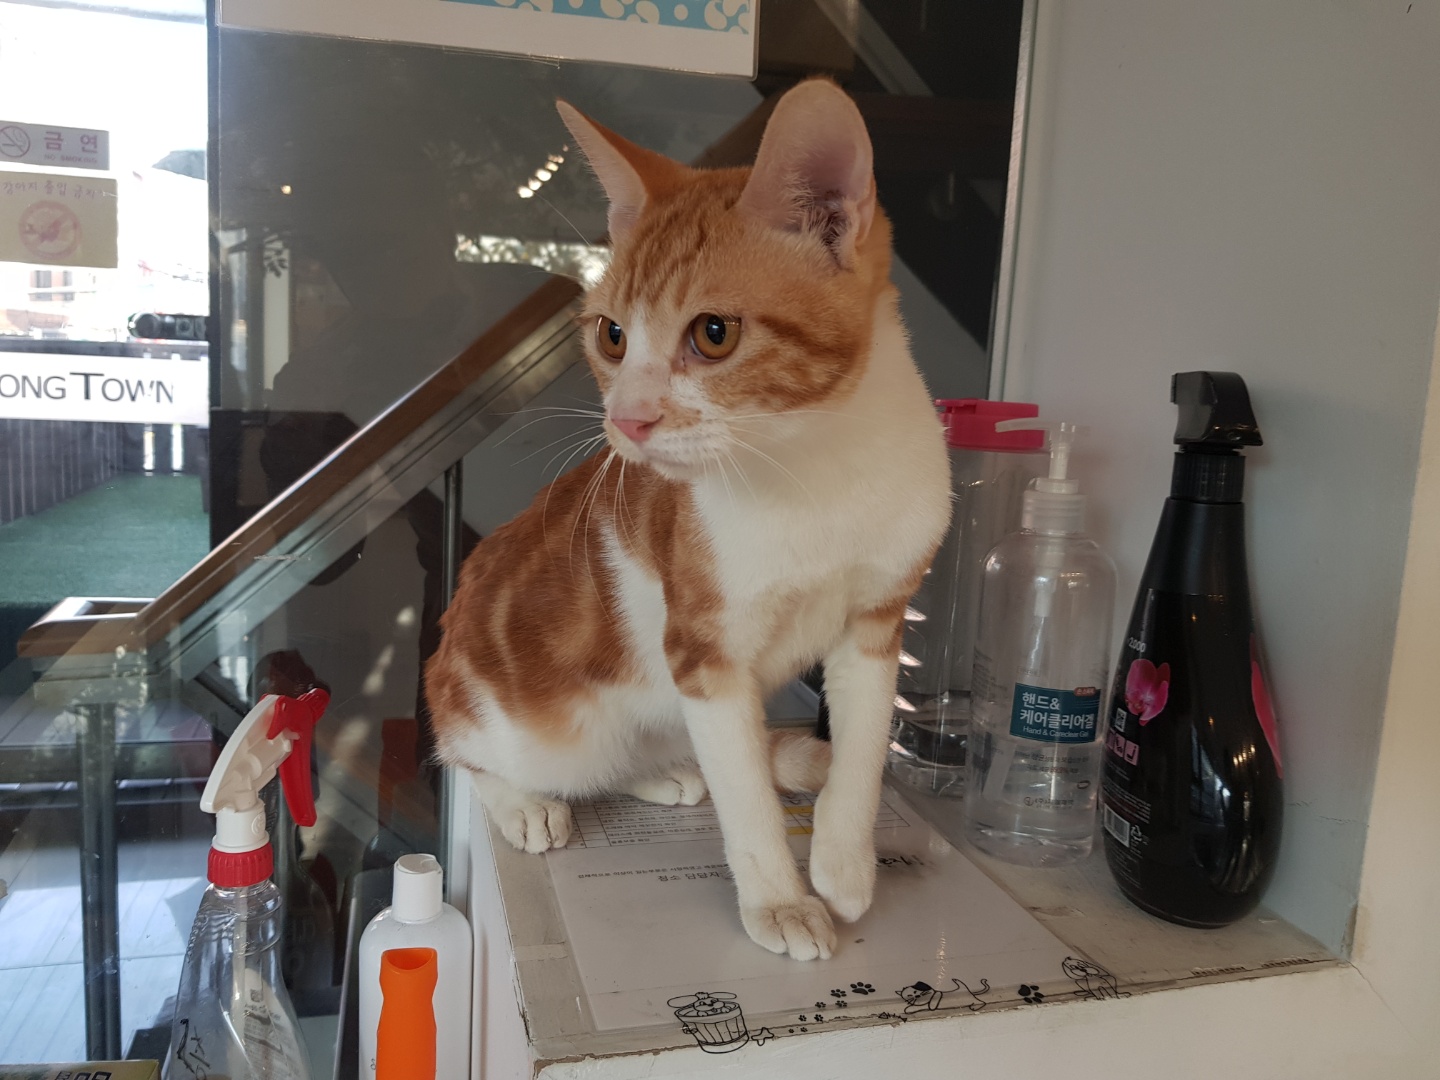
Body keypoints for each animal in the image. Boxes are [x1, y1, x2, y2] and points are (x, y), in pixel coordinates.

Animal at [425, 78, 951, 960]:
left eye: (713, 334)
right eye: (611, 335)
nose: (627, 421)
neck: (817, 472)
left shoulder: (879, 617)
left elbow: (866, 740)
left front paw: (844, 860)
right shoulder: (703, 647)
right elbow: (745, 800)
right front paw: (779, 899)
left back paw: (679, 767)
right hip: (530, 723)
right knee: (462, 749)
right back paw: (522, 801)